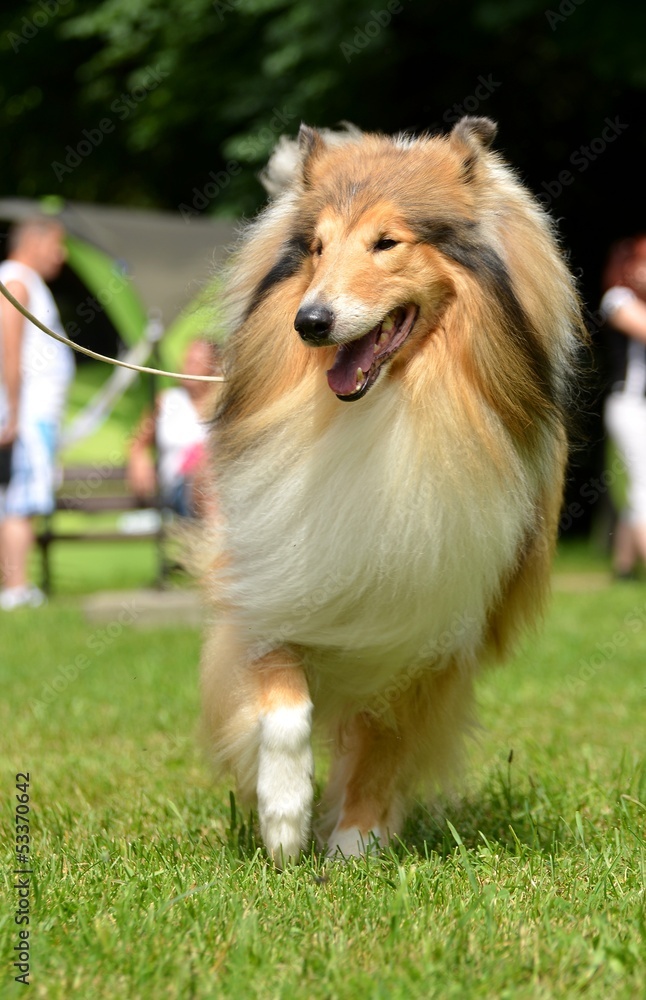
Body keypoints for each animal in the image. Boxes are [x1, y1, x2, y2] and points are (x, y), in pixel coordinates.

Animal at [200, 117, 585, 865]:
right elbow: (280, 697)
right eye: (317, 247)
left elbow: (385, 738)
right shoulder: (272, 566)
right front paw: (283, 816)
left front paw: (356, 840)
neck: (385, 411)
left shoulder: (431, 616)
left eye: (387, 242)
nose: (310, 323)